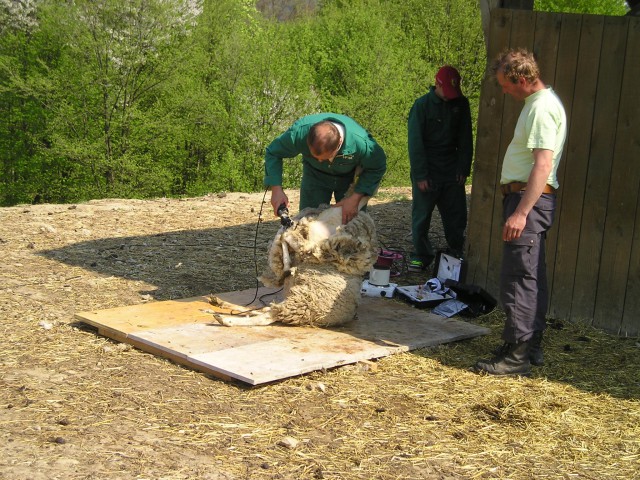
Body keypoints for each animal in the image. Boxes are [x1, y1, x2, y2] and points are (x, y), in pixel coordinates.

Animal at [212, 197, 378, 328]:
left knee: (267, 316)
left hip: (301, 302)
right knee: (264, 310)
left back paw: (224, 318)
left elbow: (292, 240)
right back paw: (220, 304)